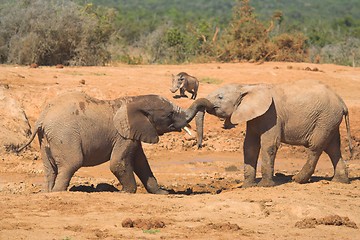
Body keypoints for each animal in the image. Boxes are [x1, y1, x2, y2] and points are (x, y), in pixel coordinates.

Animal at [16, 91, 212, 193]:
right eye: (169, 114)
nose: (198, 145)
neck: (134, 100)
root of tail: (42, 118)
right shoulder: (123, 136)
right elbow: (118, 163)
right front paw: (127, 192)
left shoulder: (133, 134)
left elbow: (142, 163)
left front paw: (162, 193)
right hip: (64, 135)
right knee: (71, 164)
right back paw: (59, 193)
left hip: (46, 140)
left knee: (50, 169)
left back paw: (47, 193)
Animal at [195, 80, 352, 188]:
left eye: (220, 97)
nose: (199, 146)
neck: (247, 86)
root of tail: (342, 102)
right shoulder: (255, 117)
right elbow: (249, 146)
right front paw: (247, 186)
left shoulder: (271, 115)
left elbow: (268, 145)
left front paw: (264, 186)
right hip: (330, 121)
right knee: (333, 148)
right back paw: (340, 181)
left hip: (324, 120)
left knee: (316, 148)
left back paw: (297, 180)